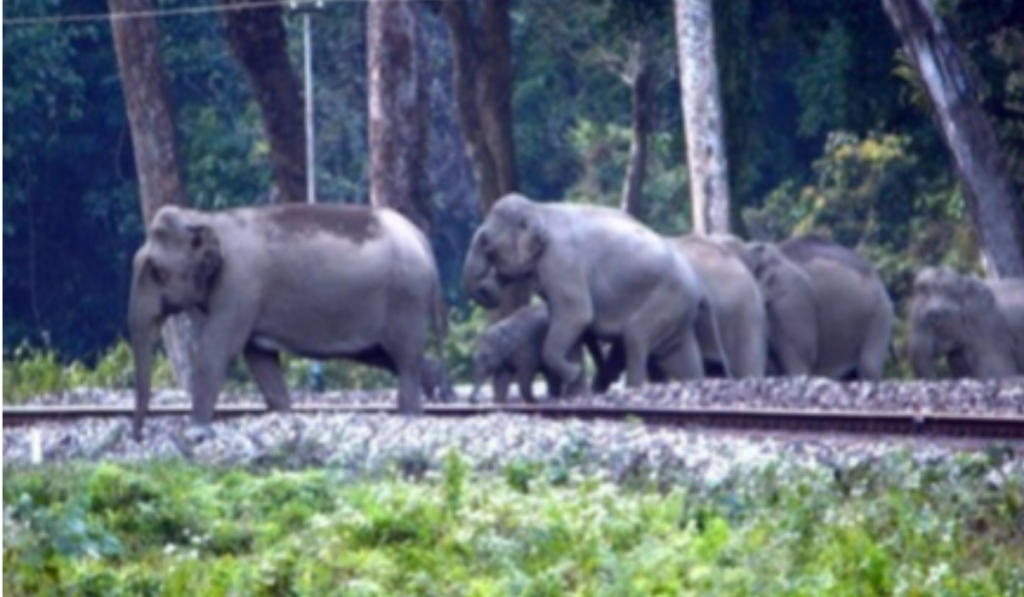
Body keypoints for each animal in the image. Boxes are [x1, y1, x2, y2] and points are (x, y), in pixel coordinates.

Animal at [129, 203, 447, 440]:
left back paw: (411, 414)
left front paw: (196, 430)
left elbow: (215, 351)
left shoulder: (239, 286)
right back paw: (432, 383)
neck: (205, 217)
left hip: (406, 299)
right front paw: (284, 416)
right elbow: (259, 359)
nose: (138, 435)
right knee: (388, 356)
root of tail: (421, 238)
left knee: (403, 359)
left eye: (157, 271)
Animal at [463, 193, 711, 392]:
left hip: (667, 300)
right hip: (678, 311)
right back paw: (695, 382)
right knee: (685, 358)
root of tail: (697, 286)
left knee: (636, 338)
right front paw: (576, 389)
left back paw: (633, 389)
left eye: (485, 242)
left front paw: (572, 374)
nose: (487, 287)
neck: (539, 209)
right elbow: (568, 322)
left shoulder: (563, 261)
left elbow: (576, 315)